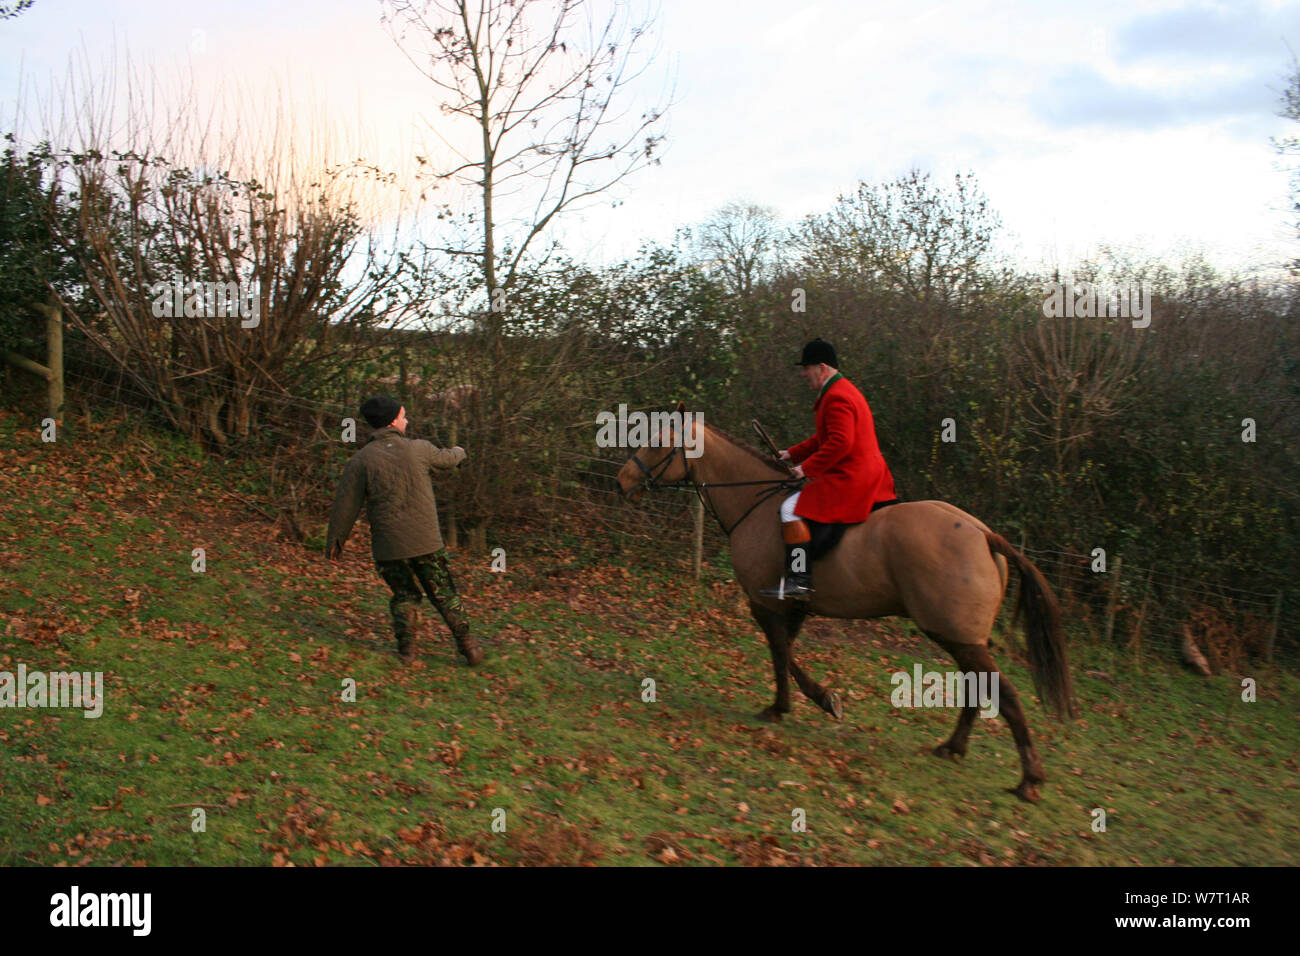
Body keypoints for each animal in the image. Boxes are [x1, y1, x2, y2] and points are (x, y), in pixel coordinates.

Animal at [616, 400, 1076, 806]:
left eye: (658, 442)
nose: (622, 482)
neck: (755, 501)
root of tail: (984, 533)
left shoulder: (765, 604)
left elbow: (779, 651)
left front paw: (791, 705)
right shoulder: (793, 607)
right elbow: (787, 653)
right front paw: (813, 700)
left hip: (956, 635)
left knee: (1004, 694)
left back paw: (1029, 780)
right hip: (957, 636)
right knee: (978, 687)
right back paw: (954, 748)